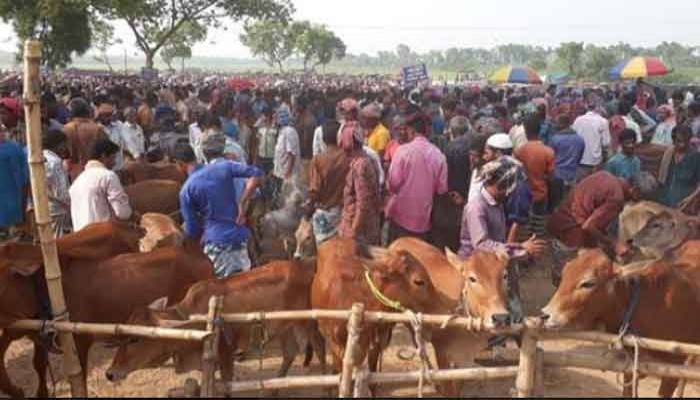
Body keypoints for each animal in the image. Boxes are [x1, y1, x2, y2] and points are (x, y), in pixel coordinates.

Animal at [104, 260, 326, 390]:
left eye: (135, 339)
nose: (110, 373)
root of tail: (309, 270)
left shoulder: (226, 354)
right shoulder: (207, 362)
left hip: (309, 322)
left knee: (320, 348)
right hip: (284, 327)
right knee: (289, 353)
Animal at [392, 238, 512, 396]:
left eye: (505, 275)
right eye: (472, 278)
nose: (501, 317)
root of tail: (399, 240)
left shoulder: (465, 358)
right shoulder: (442, 352)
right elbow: (448, 388)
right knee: (418, 344)